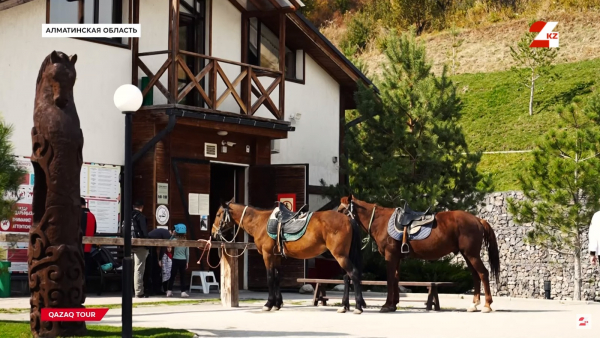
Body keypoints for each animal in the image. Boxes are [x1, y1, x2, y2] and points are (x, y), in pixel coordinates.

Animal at [211, 201, 366, 314]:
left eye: (218, 214)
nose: (213, 233)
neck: (260, 222)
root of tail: (348, 219)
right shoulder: (276, 257)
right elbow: (277, 277)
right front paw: (277, 303)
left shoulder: (268, 255)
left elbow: (270, 278)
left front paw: (269, 303)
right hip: (343, 255)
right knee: (346, 277)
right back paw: (344, 306)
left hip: (340, 255)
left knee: (354, 274)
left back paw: (358, 306)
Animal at [338, 197, 502, 312]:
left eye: (341, 210)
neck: (381, 221)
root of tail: (477, 219)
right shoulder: (397, 258)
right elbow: (395, 279)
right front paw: (393, 305)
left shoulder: (390, 256)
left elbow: (390, 280)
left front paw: (387, 305)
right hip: (468, 255)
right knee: (476, 276)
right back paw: (474, 304)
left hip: (472, 254)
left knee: (483, 273)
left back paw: (487, 305)